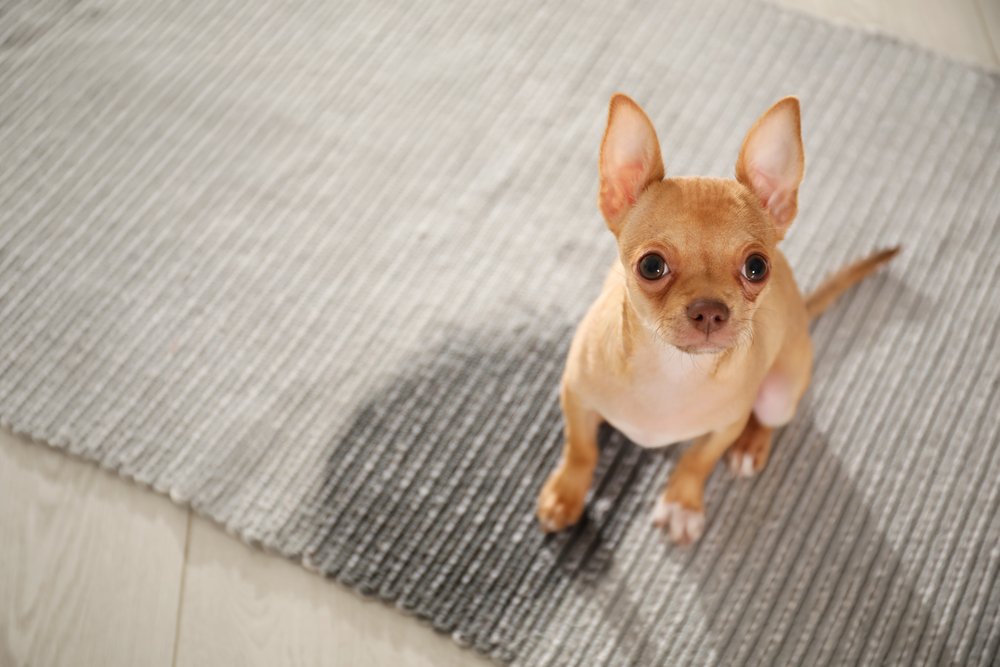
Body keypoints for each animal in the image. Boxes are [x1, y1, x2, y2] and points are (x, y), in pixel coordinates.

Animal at [540, 92, 900, 544]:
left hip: (779, 395)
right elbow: (580, 449)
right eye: (652, 266)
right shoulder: (575, 395)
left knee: (769, 421)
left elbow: (698, 459)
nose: (710, 310)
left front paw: (683, 503)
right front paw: (565, 494)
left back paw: (749, 447)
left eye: (757, 268)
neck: (673, 371)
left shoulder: (726, 426)